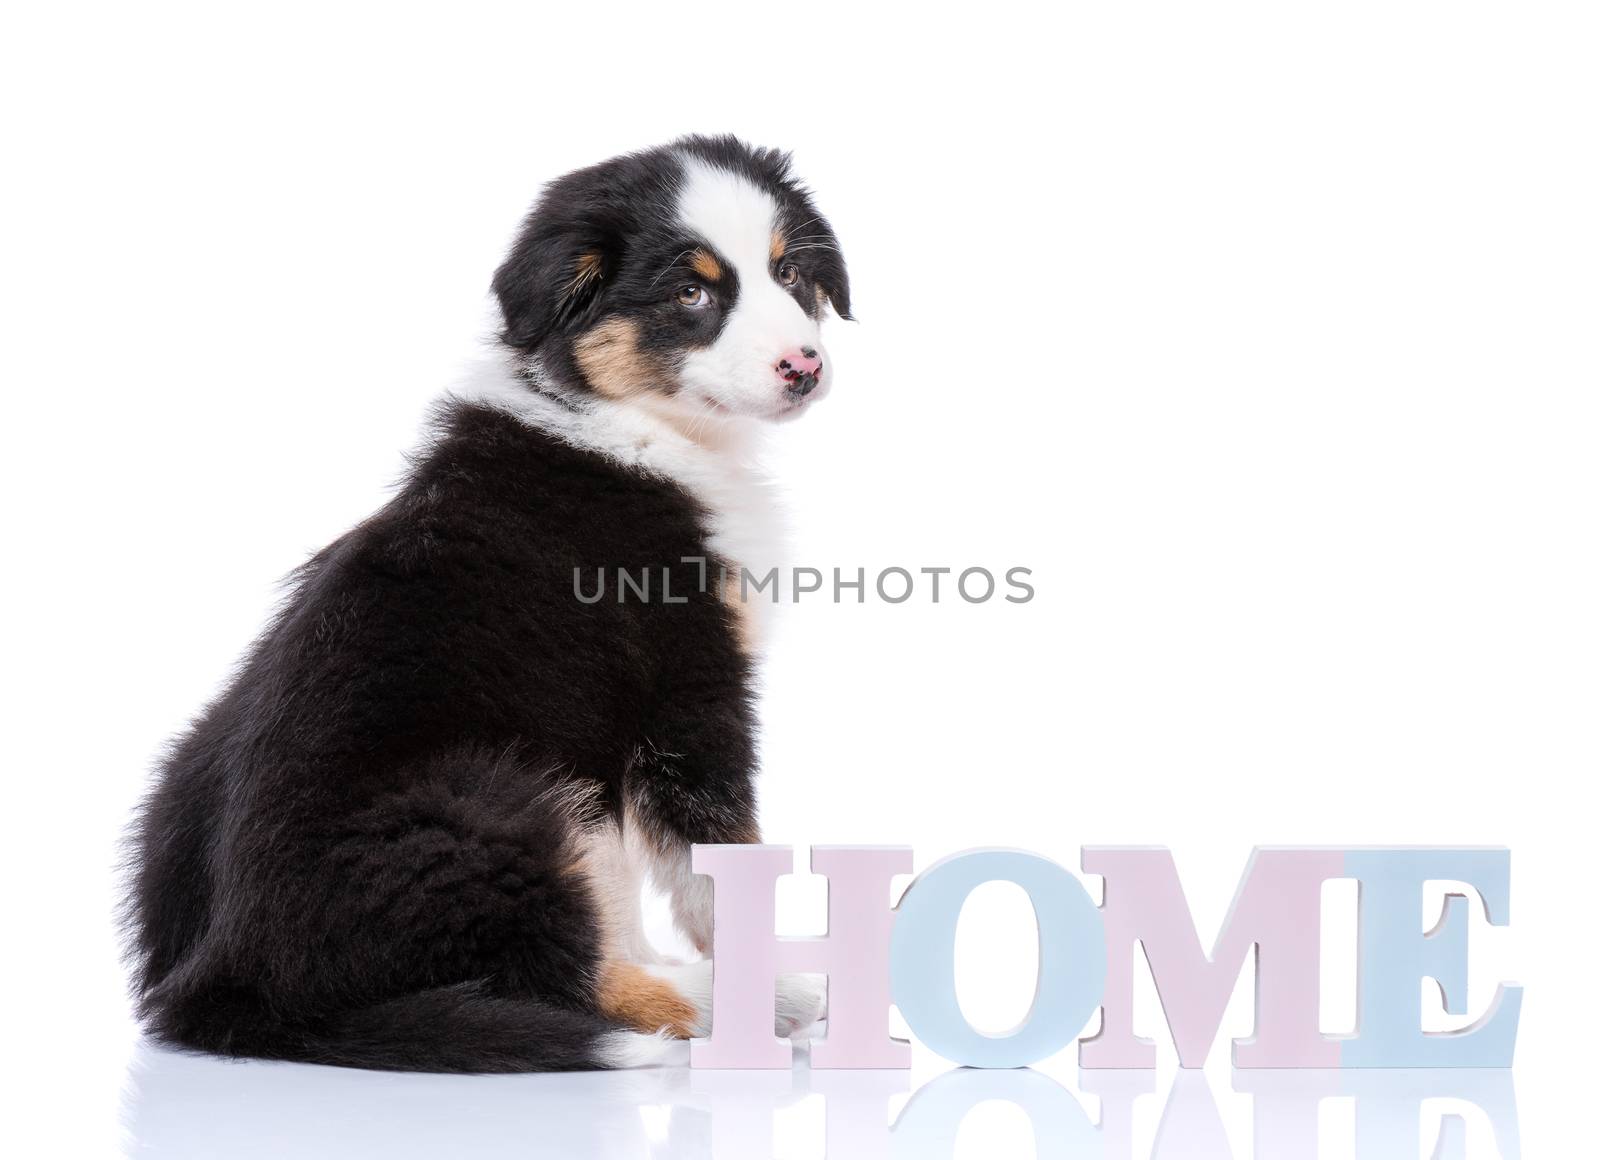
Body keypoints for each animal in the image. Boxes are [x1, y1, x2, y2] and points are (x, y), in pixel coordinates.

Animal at [124, 133, 851, 1068]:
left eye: (789, 272)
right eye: (690, 293)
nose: (805, 367)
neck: (631, 423)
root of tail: (231, 977)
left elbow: (630, 872)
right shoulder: (687, 690)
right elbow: (716, 852)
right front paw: (763, 973)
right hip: (501, 798)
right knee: (559, 975)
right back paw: (722, 1004)